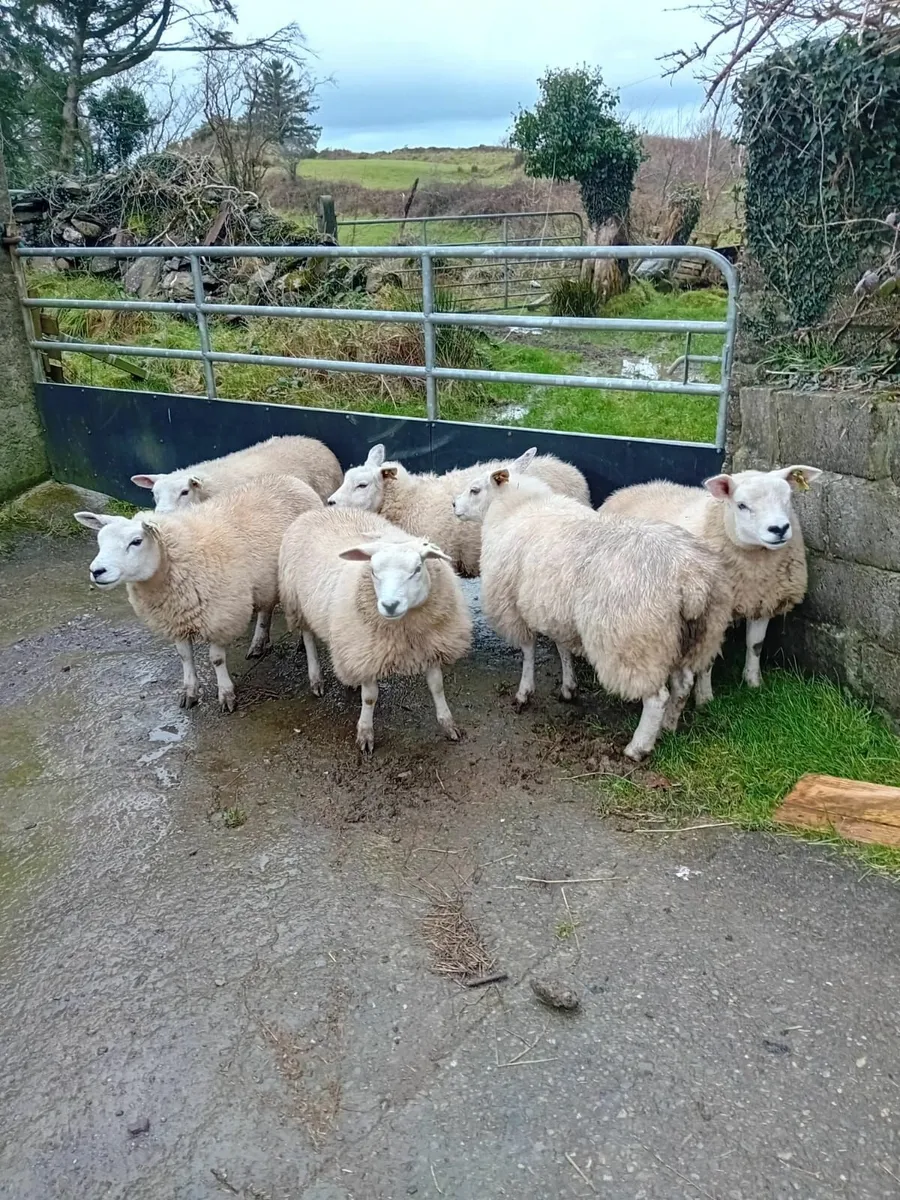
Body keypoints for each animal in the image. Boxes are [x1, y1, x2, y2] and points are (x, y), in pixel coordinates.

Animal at [74, 474, 321, 711]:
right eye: (100, 541)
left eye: (136, 541)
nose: (97, 571)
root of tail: (290, 479)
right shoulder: (175, 619)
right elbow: (185, 656)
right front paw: (190, 692)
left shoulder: (220, 615)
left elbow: (216, 659)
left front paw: (226, 694)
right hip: (264, 582)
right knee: (265, 608)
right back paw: (258, 642)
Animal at [278, 508, 472, 753]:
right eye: (372, 570)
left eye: (417, 569)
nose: (390, 605)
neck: (404, 631)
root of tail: (319, 510)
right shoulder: (367, 654)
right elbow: (370, 697)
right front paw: (365, 733)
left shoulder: (429, 646)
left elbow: (437, 686)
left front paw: (448, 724)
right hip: (296, 602)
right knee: (308, 637)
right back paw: (316, 678)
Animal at [453, 449, 731, 760]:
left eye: (475, 489)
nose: (454, 505)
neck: (515, 508)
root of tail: (691, 580)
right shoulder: (552, 606)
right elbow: (562, 648)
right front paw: (568, 687)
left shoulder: (512, 606)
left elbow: (528, 651)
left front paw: (525, 692)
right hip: (693, 636)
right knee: (682, 684)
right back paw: (668, 727)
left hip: (635, 642)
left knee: (656, 697)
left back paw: (638, 746)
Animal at [599, 465, 822, 703]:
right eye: (741, 505)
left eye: (788, 498)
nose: (779, 528)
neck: (755, 568)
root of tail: (629, 489)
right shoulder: (713, 616)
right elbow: (708, 659)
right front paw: (705, 698)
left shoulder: (763, 600)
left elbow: (755, 645)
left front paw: (754, 682)